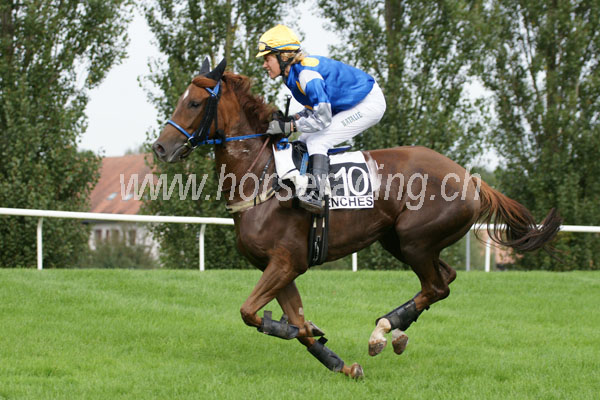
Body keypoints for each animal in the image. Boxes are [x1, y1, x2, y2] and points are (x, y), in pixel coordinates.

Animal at [152, 59, 561, 379]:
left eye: (194, 102)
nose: (160, 147)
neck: (262, 174)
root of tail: (471, 178)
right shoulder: (279, 266)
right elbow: (297, 323)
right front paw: (340, 363)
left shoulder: (286, 261)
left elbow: (251, 312)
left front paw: (290, 328)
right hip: (399, 240)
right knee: (445, 278)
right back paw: (396, 333)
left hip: (414, 239)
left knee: (436, 286)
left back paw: (383, 330)